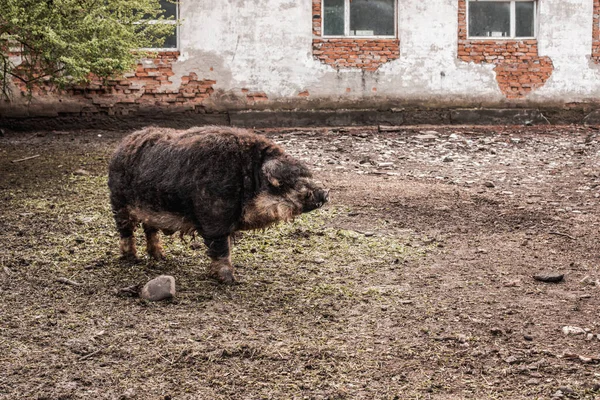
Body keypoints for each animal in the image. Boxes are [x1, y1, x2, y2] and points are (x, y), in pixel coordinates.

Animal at [110, 126, 330, 282]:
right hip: (118, 202)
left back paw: (160, 257)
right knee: (126, 231)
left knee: (150, 230)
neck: (248, 179)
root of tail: (121, 145)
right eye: (290, 181)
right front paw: (230, 280)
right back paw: (132, 258)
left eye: (307, 175)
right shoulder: (214, 216)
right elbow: (221, 248)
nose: (325, 192)